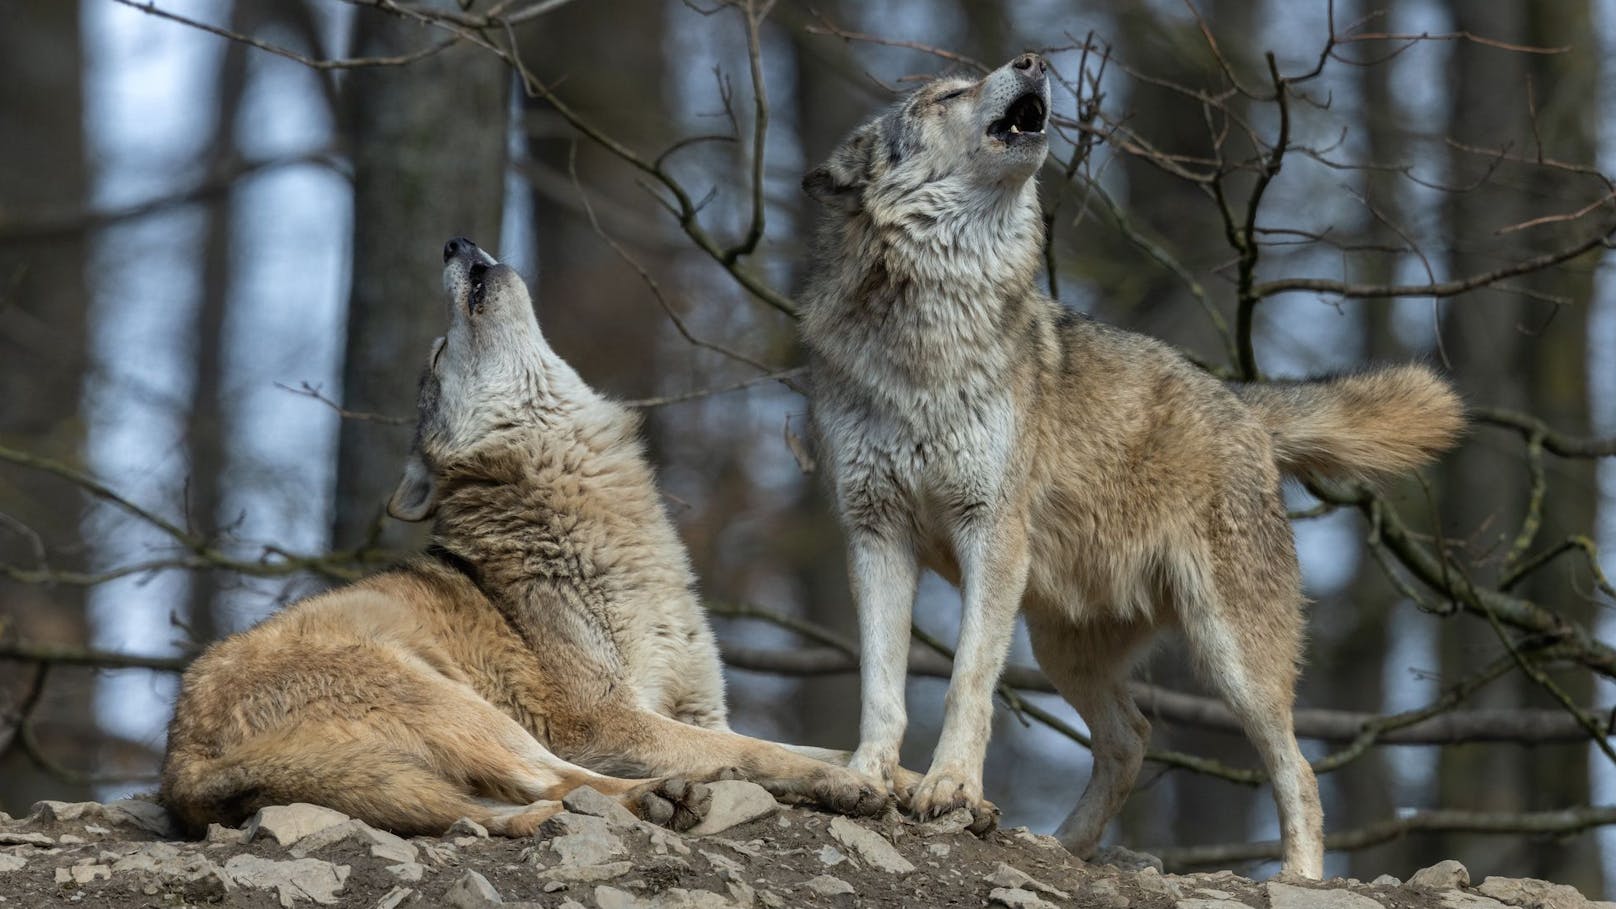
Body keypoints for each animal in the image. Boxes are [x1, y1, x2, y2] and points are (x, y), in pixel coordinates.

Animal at [157, 237, 892, 834]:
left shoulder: (702, 709)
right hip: (459, 703)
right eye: (438, 352)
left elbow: (808, 746)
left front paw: (896, 780)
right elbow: (757, 750)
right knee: (559, 782)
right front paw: (841, 782)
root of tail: (180, 767)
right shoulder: (607, 720)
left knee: (504, 800)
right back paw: (658, 797)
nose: (454, 242)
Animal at [795, 52, 1467, 873]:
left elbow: (966, 682)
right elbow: (881, 687)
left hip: (1232, 657)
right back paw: (1063, 846)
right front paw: (865, 777)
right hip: (1062, 646)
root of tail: (1242, 402)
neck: (928, 330)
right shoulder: (875, 533)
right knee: (1133, 737)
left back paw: (1298, 876)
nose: (1032, 59)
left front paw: (949, 787)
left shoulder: (991, 533)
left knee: (1298, 770)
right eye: (947, 94)